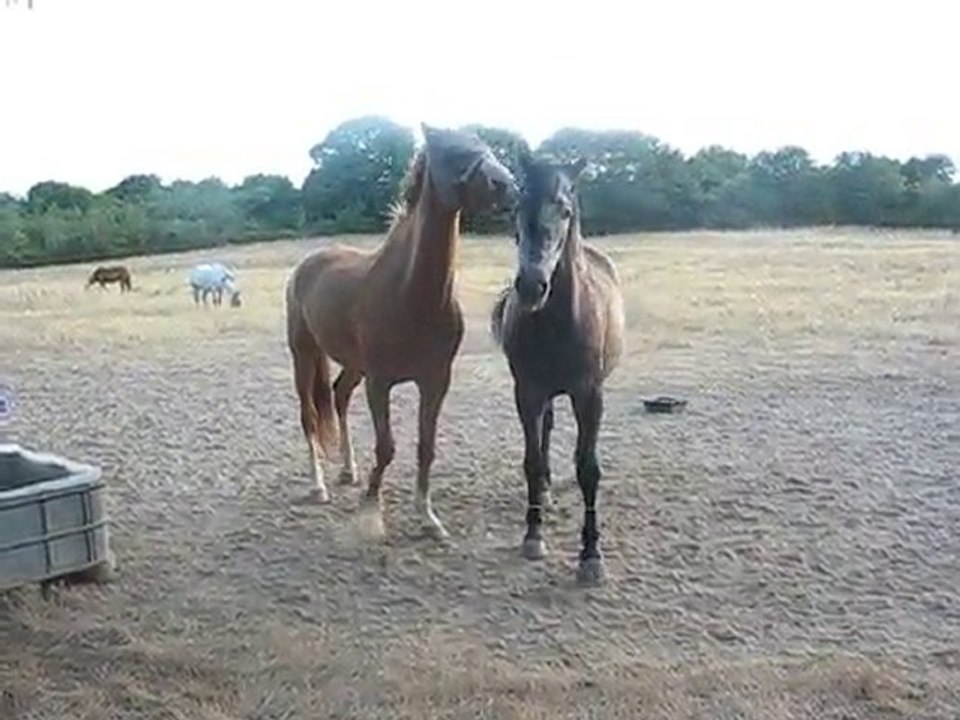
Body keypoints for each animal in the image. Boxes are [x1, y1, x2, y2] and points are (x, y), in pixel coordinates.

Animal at [284, 123, 517, 539]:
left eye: (486, 146)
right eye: (451, 151)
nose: (507, 185)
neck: (412, 294)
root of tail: (307, 264)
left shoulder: (436, 381)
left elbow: (426, 447)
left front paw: (428, 518)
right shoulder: (381, 383)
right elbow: (387, 447)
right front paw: (370, 507)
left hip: (353, 365)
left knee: (339, 396)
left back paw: (348, 471)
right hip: (303, 353)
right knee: (309, 415)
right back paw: (320, 486)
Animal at [491, 152, 625, 586]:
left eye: (565, 211)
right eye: (517, 206)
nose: (531, 286)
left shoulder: (590, 395)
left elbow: (588, 469)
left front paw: (591, 556)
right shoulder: (527, 392)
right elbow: (532, 461)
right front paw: (533, 536)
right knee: (546, 429)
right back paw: (546, 493)